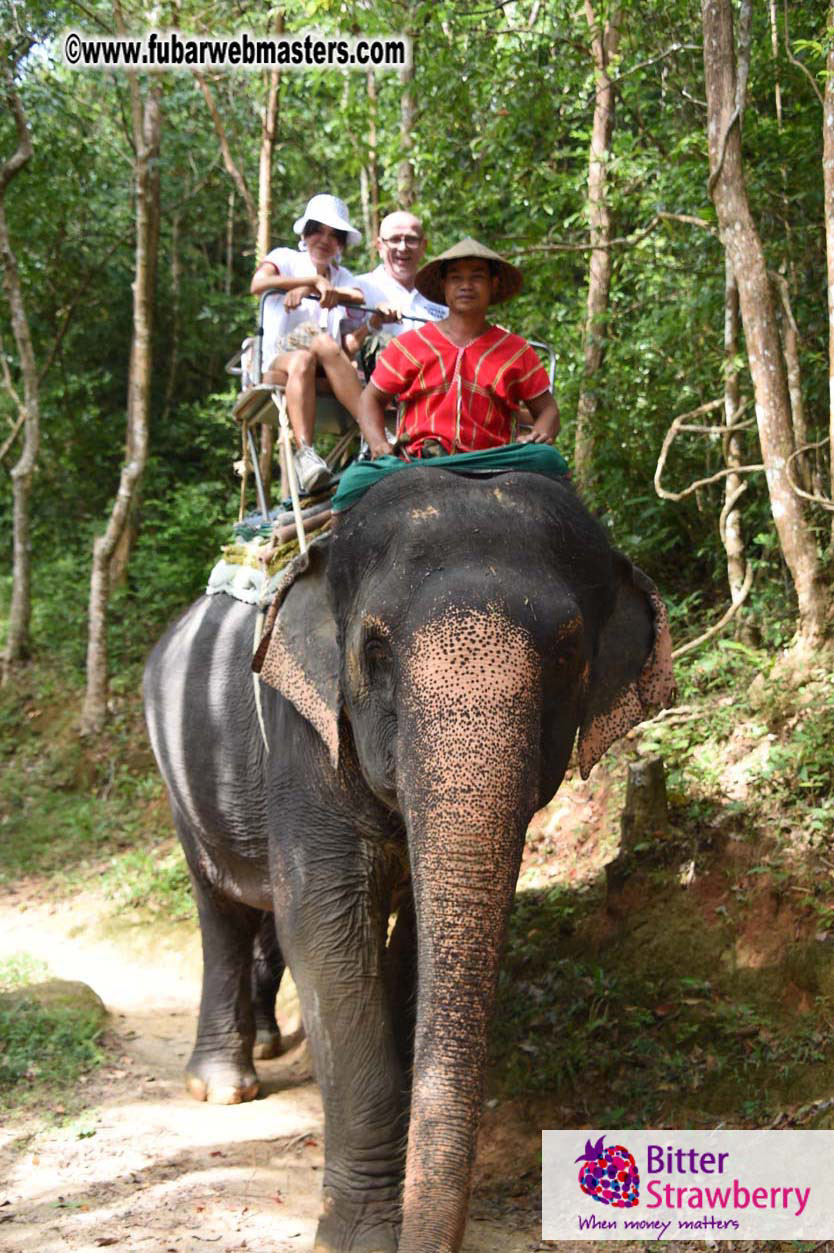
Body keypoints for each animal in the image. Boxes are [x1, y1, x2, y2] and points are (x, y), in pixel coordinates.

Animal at [143, 464, 674, 1253]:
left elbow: (419, 945)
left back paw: (267, 1046)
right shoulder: (303, 732)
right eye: (374, 652)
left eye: (568, 656)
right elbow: (325, 930)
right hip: (178, 771)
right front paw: (363, 1237)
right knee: (223, 908)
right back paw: (223, 1085)